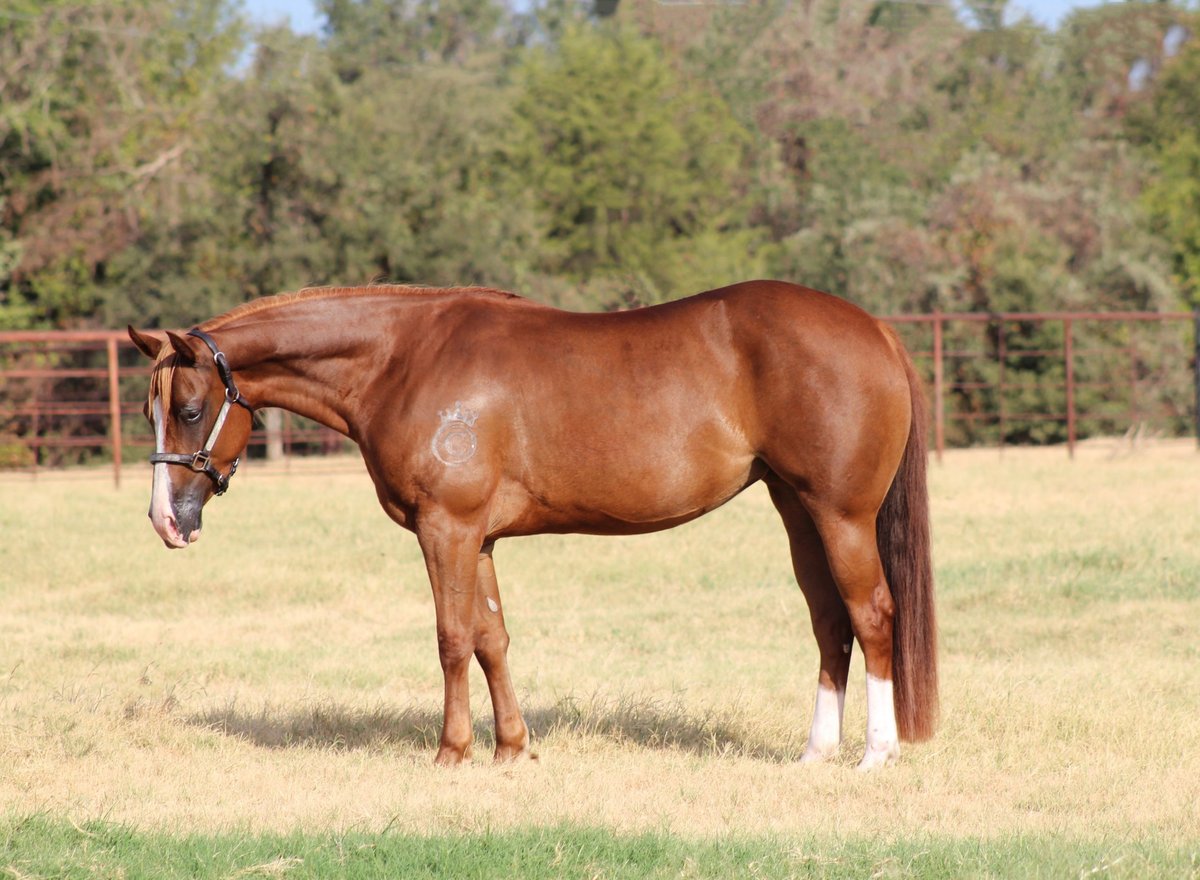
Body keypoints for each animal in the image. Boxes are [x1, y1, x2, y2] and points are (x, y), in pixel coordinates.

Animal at [128, 279, 937, 770]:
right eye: (149, 410)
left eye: (191, 410)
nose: (166, 520)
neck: (403, 359)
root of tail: (875, 330)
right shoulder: (478, 539)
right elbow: (492, 639)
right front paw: (512, 749)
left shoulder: (446, 531)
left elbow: (453, 639)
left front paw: (452, 752)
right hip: (797, 511)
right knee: (829, 621)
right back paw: (816, 752)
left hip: (841, 515)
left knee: (872, 613)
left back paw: (877, 753)